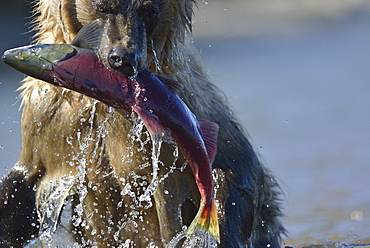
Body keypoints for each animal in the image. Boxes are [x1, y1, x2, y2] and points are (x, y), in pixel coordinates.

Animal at [0, 0, 284, 247]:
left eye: (150, 11)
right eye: (103, 6)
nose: (123, 57)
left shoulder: (191, 104)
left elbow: (231, 167)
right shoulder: (50, 119)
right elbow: (22, 188)